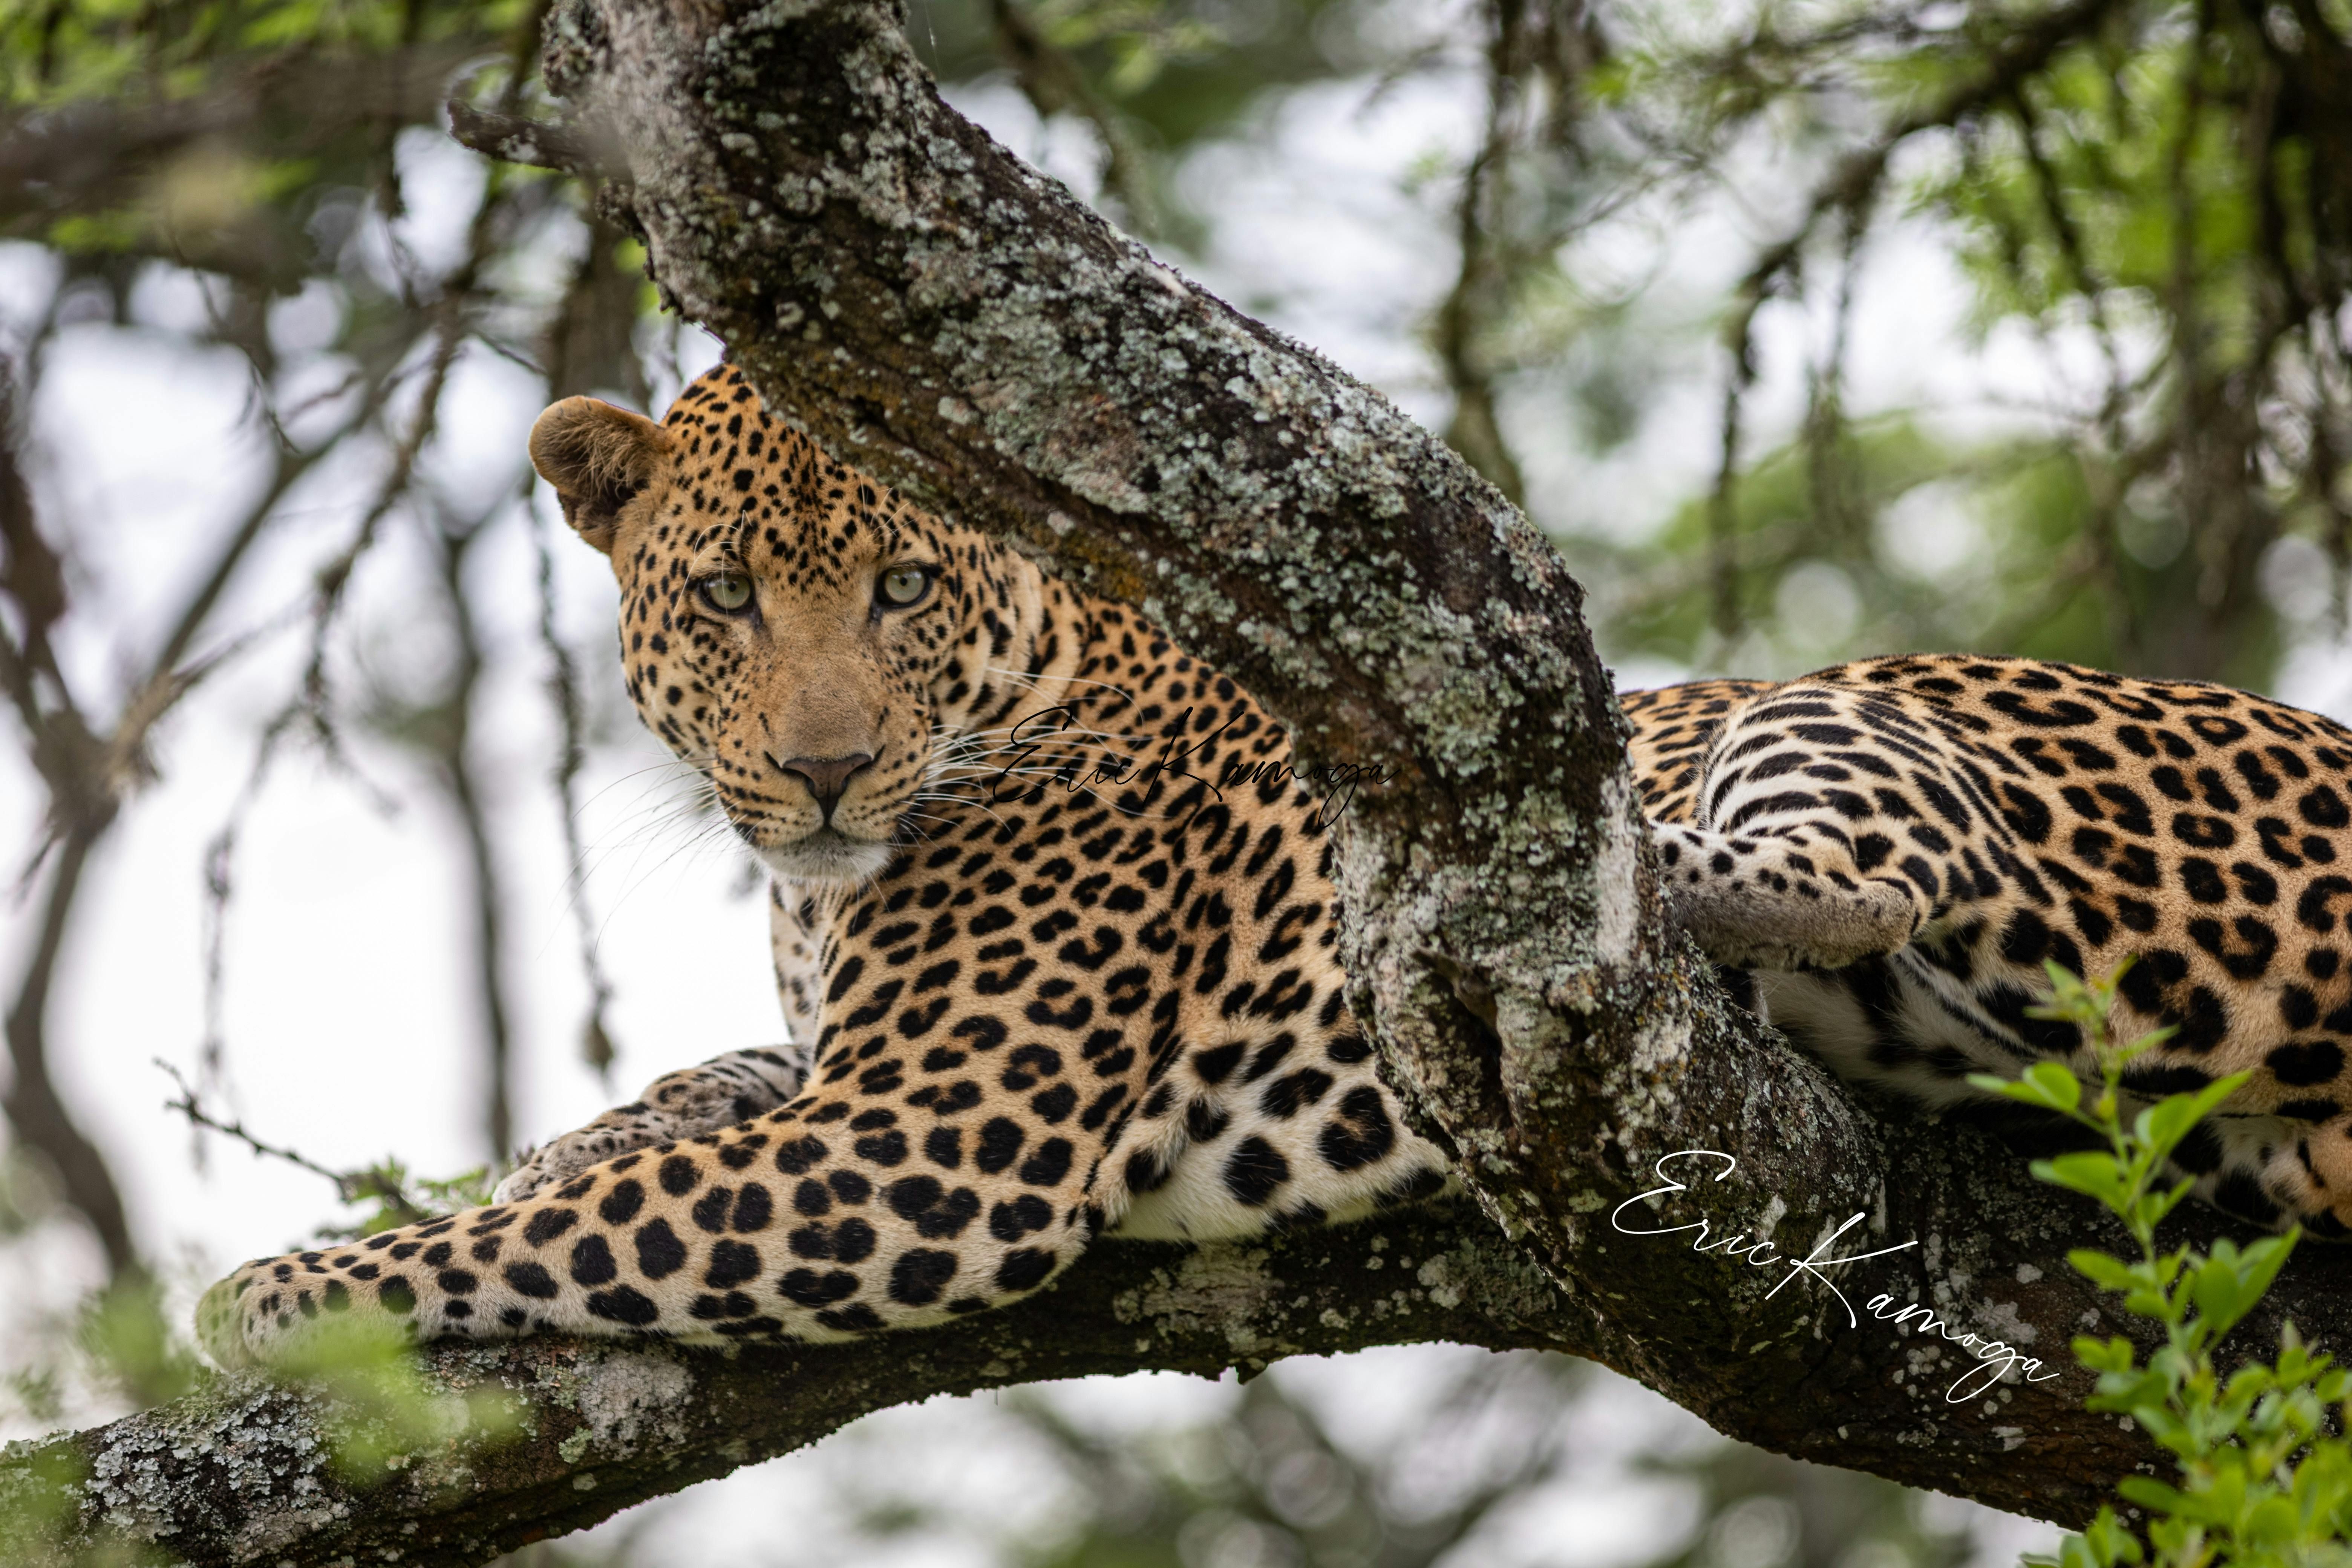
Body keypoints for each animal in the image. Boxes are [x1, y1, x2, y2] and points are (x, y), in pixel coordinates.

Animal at [197, 362, 2352, 1367]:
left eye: (900, 588)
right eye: (724, 598)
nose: (825, 771)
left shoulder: (933, 1147)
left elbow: (563, 1235)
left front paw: (285, 1287)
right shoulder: (848, 1080)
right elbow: (664, 1115)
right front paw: (557, 1139)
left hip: (1900, 706)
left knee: (1860, 844)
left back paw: (1567, 881)